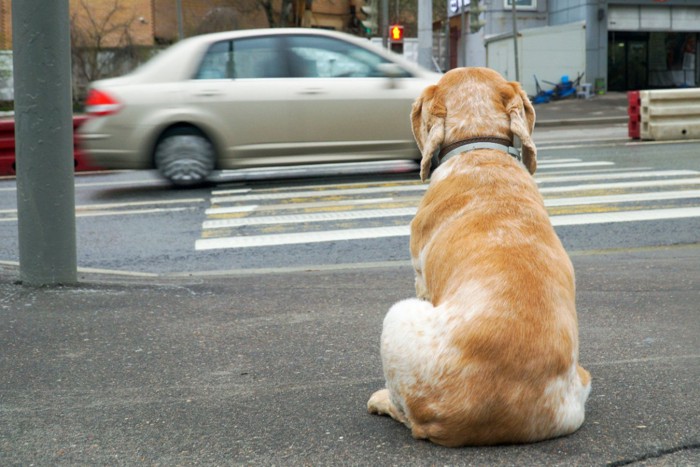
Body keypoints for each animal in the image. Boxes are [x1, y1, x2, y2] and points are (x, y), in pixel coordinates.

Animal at [366, 67, 592, 448]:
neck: (480, 146)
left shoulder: (420, 279)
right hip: (580, 390)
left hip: (398, 315)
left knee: (407, 413)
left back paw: (380, 400)